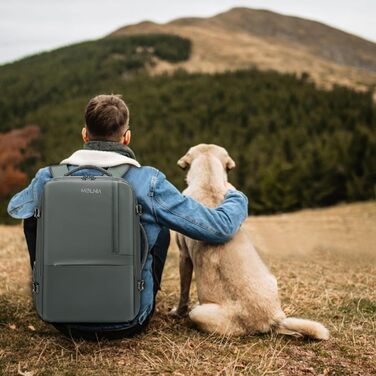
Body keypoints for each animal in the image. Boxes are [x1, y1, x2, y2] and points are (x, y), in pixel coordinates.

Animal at [170, 144, 328, 340]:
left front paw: (177, 312)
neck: (209, 181)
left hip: (199, 313)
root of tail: (270, 319)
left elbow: (183, 291)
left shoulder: (184, 256)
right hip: (273, 281)